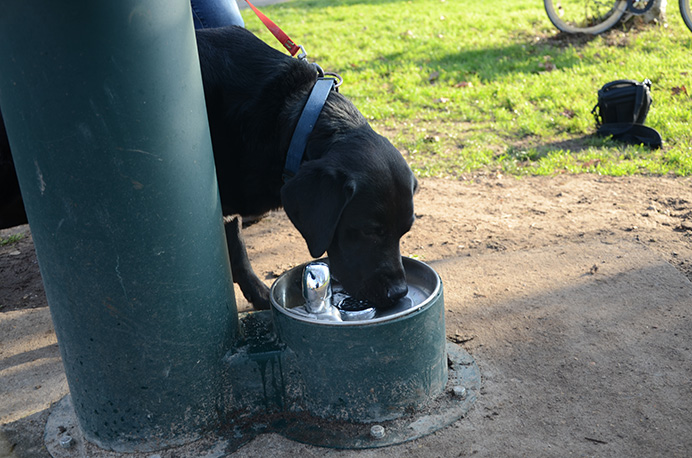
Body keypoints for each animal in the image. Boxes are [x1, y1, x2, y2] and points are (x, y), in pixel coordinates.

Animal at [0, 26, 416, 312]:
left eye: (404, 231)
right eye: (368, 230)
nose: (398, 293)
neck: (294, 117)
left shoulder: (224, 203)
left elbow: (239, 254)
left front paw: (259, 298)